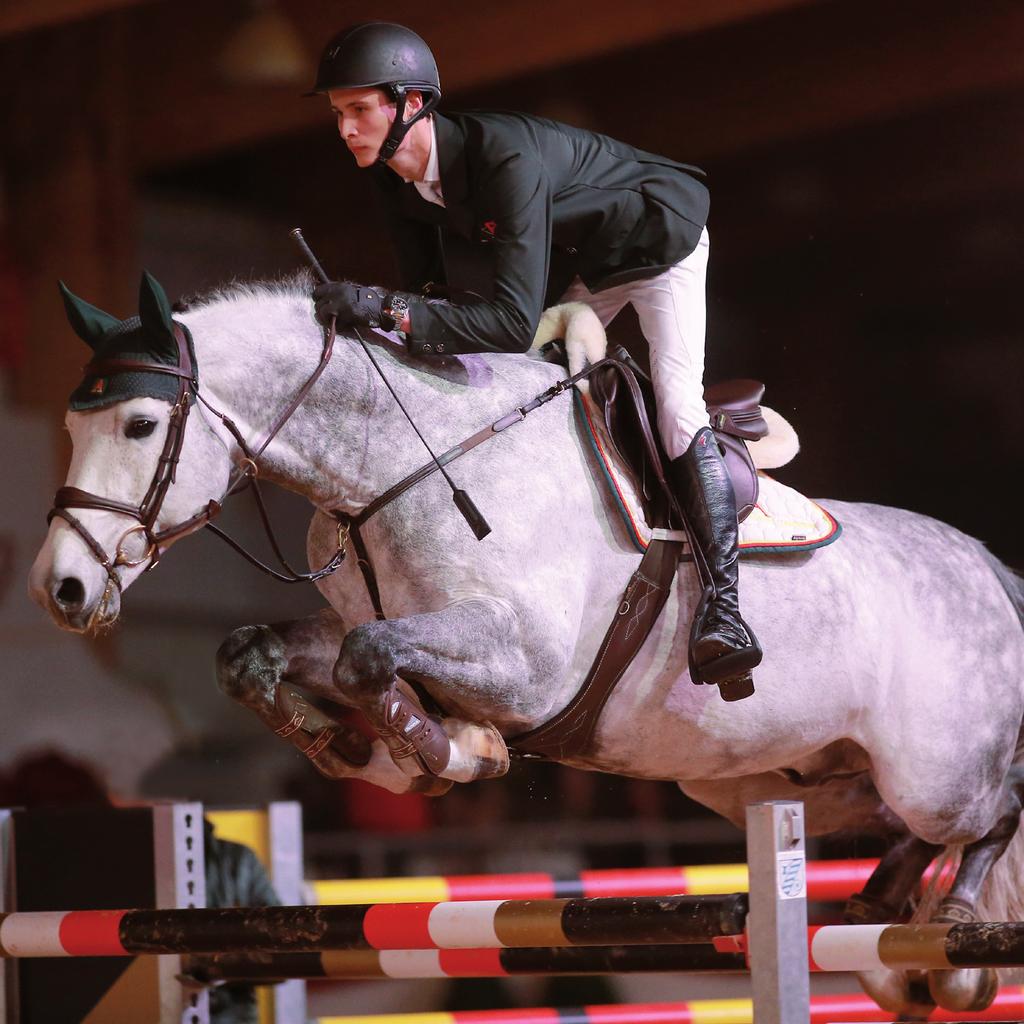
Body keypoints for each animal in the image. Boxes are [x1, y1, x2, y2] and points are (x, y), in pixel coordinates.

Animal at [29, 274, 1024, 1015]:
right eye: (71, 426)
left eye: (140, 425)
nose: (60, 589)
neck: (401, 465)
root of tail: (989, 566)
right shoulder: (360, 625)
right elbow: (257, 656)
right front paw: (351, 744)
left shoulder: (527, 667)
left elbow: (375, 661)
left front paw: (444, 752)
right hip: (787, 779)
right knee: (898, 832)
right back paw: (878, 918)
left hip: (932, 770)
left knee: (990, 814)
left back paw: (952, 937)